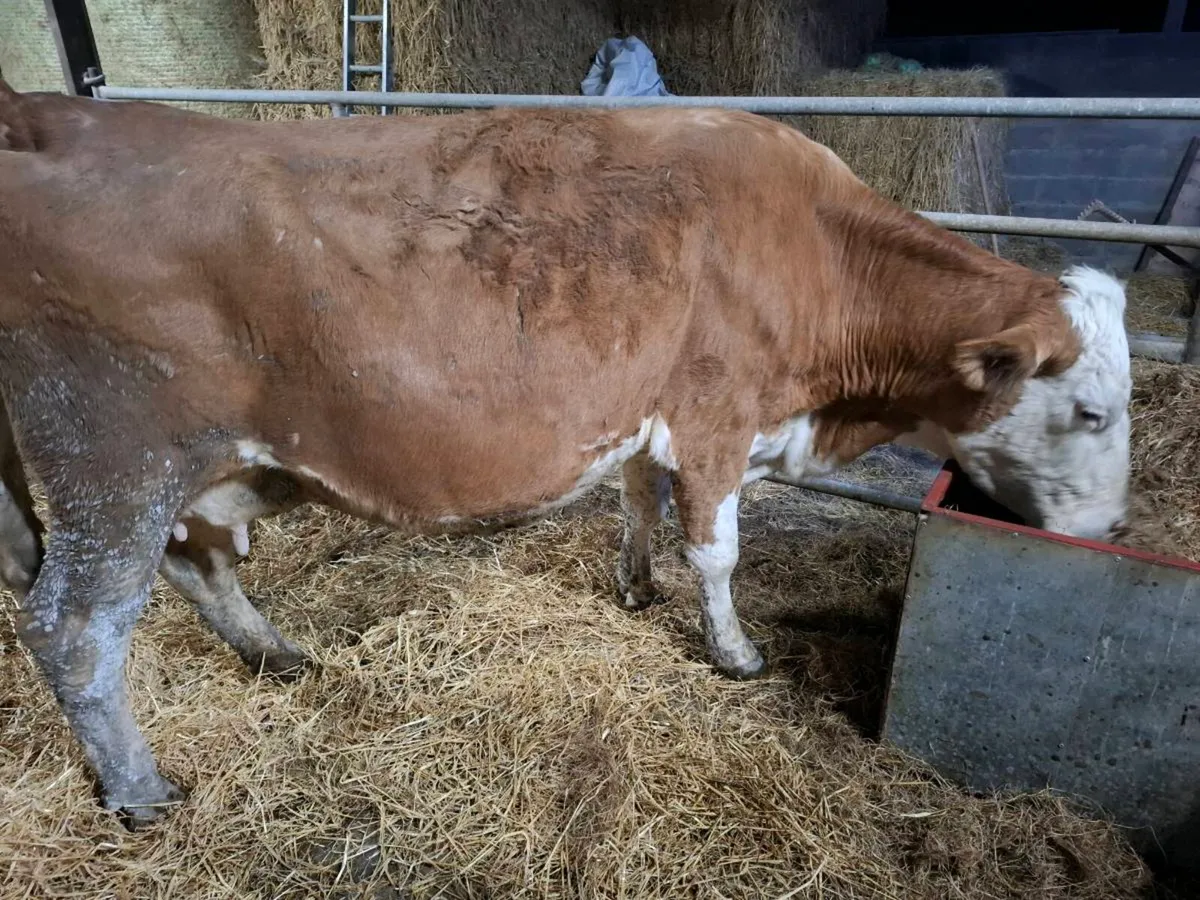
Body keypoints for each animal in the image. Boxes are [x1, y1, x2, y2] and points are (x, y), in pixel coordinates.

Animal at [0, 82, 1131, 827]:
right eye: (1091, 412)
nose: (1114, 529)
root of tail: (48, 118)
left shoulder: (647, 406)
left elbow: (637, 499)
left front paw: (634, 587)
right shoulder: (719, 410)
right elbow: (717, 552)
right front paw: (734, 653)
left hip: (181, 475)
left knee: (193, 564)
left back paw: (276, 655)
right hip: (115, 467)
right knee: (76, 629)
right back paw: (142, 793)